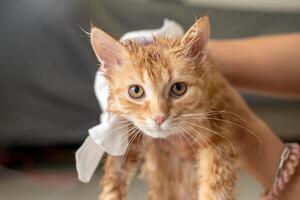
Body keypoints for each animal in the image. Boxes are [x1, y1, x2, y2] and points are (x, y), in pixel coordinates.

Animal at [91, 16, 239, 198]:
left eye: (178, 88)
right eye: (136, 91)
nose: (159, 117)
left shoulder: (217, 130)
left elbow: (216, 187)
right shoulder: (128, 132)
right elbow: (114, 176)